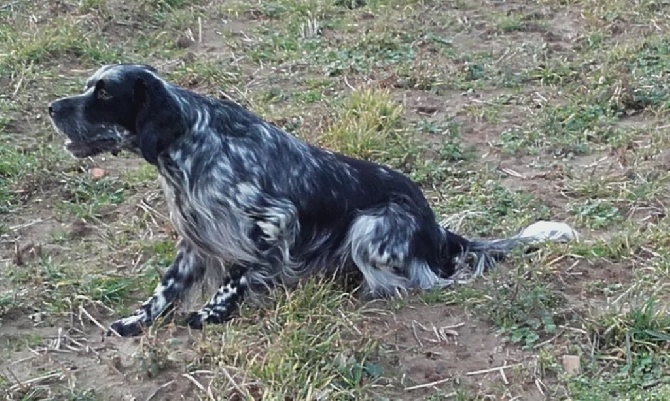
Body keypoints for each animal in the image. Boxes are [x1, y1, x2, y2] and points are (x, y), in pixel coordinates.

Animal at [48, 64, 584, 336]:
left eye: (103, 93)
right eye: (89, 86)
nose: (51, 107)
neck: (189, 143)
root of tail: (437, 230)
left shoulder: (271, 221)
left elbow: (239, 274)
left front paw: (214, 314)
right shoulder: (194, 238)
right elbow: (165, 290)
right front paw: (136, 321)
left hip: (371, 226)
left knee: (417, 281)